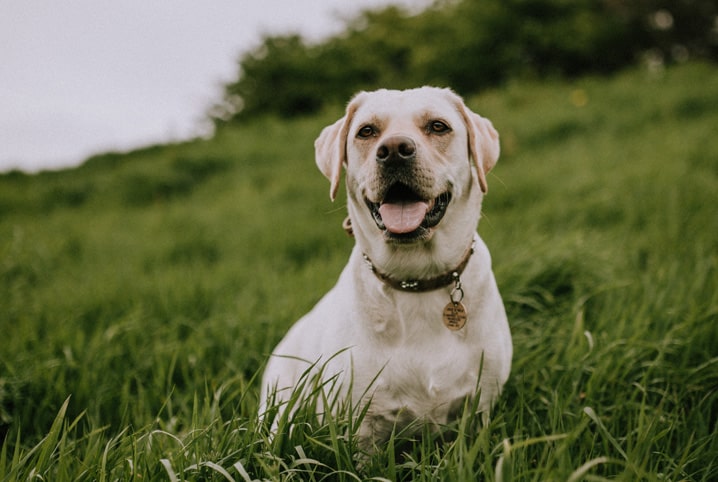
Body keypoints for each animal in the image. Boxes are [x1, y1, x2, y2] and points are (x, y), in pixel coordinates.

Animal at [262, 85, 516, 444]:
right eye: (366, 131)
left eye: (438, 126)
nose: (394, 150)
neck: (416, 280)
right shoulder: (359, 424)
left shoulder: (482, 406)